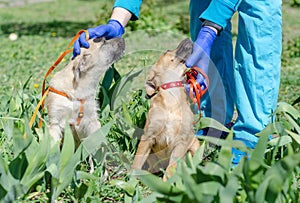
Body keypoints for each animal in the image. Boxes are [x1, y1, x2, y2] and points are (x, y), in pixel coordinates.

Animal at [132, 38, 200, 179]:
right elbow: (136, 163)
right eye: (168, 50)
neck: (171, 98)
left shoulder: (182, 141)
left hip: (195, 145)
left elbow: (170, 169)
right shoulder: (148, 137)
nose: (187, 38)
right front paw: (129, 181)